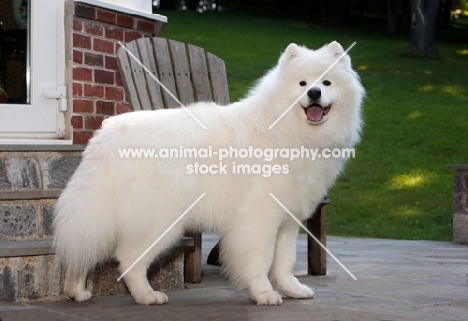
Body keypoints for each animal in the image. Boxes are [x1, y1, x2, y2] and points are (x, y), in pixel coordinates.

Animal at [53, 40, 364, 304]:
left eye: (326, 82)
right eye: (302, 83)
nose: (314, 93)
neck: (286, 128)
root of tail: (106, 134)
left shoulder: (288, 219)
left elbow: (285, 262)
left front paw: (292, 290)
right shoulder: (259, 217)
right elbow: (260, 259)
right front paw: (264, 294)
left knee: (84, 251)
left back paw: (76, 291)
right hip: (161, 219)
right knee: (128, 258)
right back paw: (147, 296)